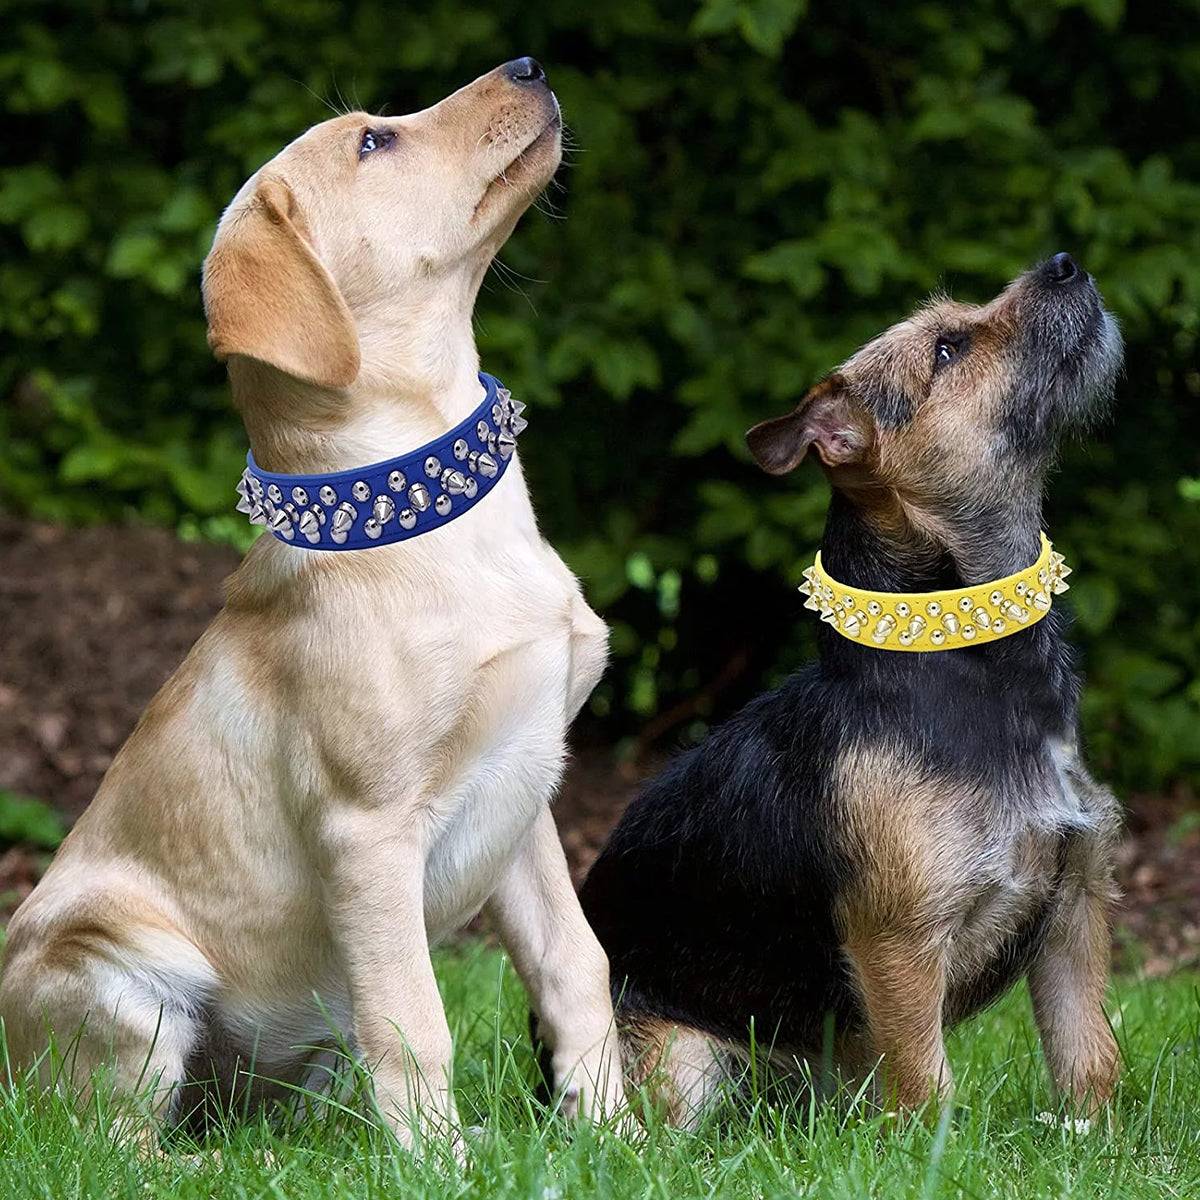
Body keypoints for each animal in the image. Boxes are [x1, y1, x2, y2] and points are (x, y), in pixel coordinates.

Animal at [0, 60, 619, 1147]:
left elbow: (576, 965)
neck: (428, 518)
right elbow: (415, 1021)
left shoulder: (526, 787)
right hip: (121, 975)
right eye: (374, 141)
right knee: (114, 1142)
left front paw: (620, 1136)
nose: (530, 66)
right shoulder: (365, 831)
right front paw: (440, 1165)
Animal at [580, 253, 1123, 1123]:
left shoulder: (1075, 906)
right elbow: (927, 1085)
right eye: (946, 350)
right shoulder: (896, 947)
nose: (1064, 262)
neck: (961, 659)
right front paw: (937, 1147)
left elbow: (1088, 1058)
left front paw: (1091, 1139)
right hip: (678, 1059)